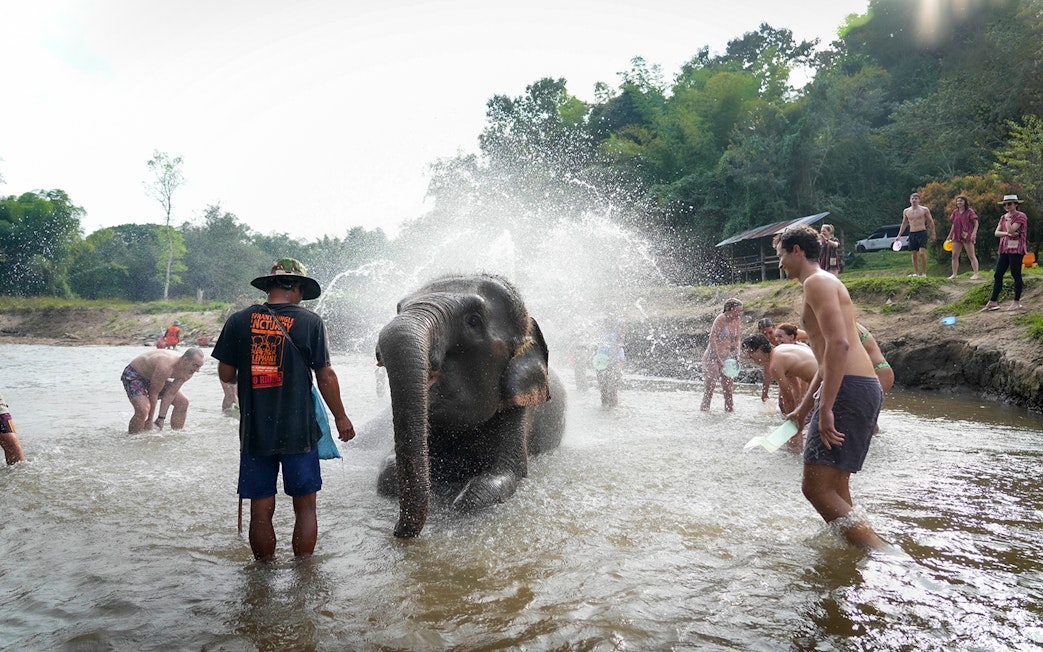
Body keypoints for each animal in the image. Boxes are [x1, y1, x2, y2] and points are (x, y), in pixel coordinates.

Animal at [374, 274, 567, 538]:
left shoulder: (521, 408)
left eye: (473, 320)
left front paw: (461, 500)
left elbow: (505, 475)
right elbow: (386, 474)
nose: (396, 531)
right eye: (398, 308)